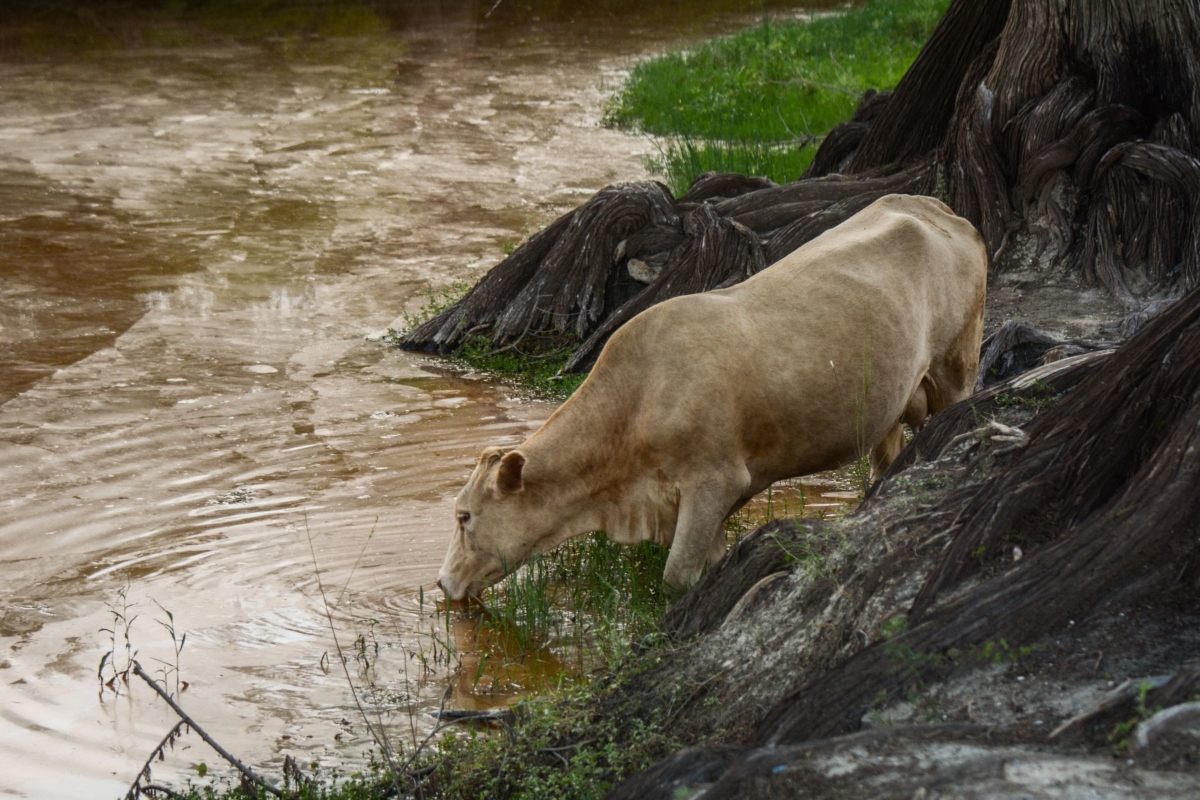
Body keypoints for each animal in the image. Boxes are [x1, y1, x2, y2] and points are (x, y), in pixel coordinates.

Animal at [436, 194, 988, 599]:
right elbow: (714, 561)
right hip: (892, 396)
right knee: (884, 456)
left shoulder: (714, 479)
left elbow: (678, 575)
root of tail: (932, 205)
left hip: (957, 363)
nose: (442, 583)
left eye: (464, 516)